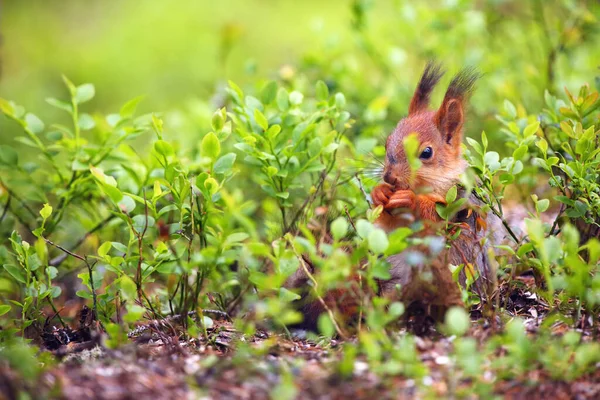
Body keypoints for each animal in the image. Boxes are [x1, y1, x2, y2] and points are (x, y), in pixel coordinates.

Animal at [286, 62, 496, 330]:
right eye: (386, 143)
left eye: (426, 153)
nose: (389, 177)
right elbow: (385, 225)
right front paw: (380, 193)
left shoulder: (460, 201)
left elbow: (438, 220)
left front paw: (412, 201)